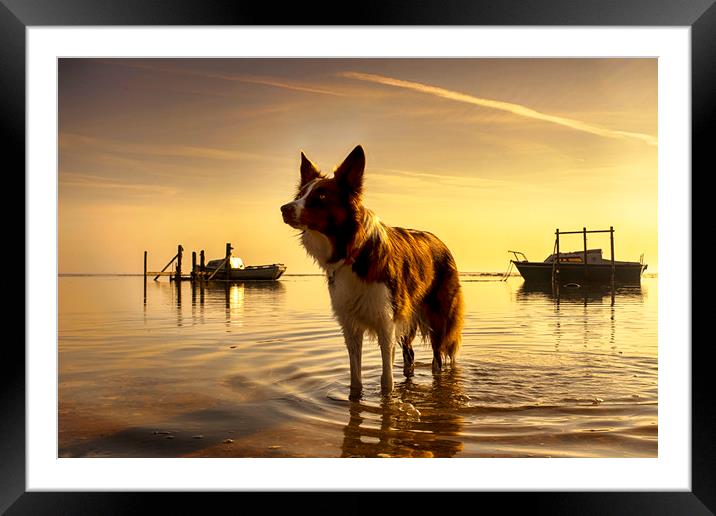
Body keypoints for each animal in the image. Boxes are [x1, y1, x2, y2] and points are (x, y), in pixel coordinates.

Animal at [280, 147, 464, 398]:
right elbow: (355, 380)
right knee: (410, 356)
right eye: (301, 193)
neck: (353, 252)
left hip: (439, 319)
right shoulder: (350, 325)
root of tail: (440, 242)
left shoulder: (385, 323)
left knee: (438, 361)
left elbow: (387, 382)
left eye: (322, 196)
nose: (284, 209)